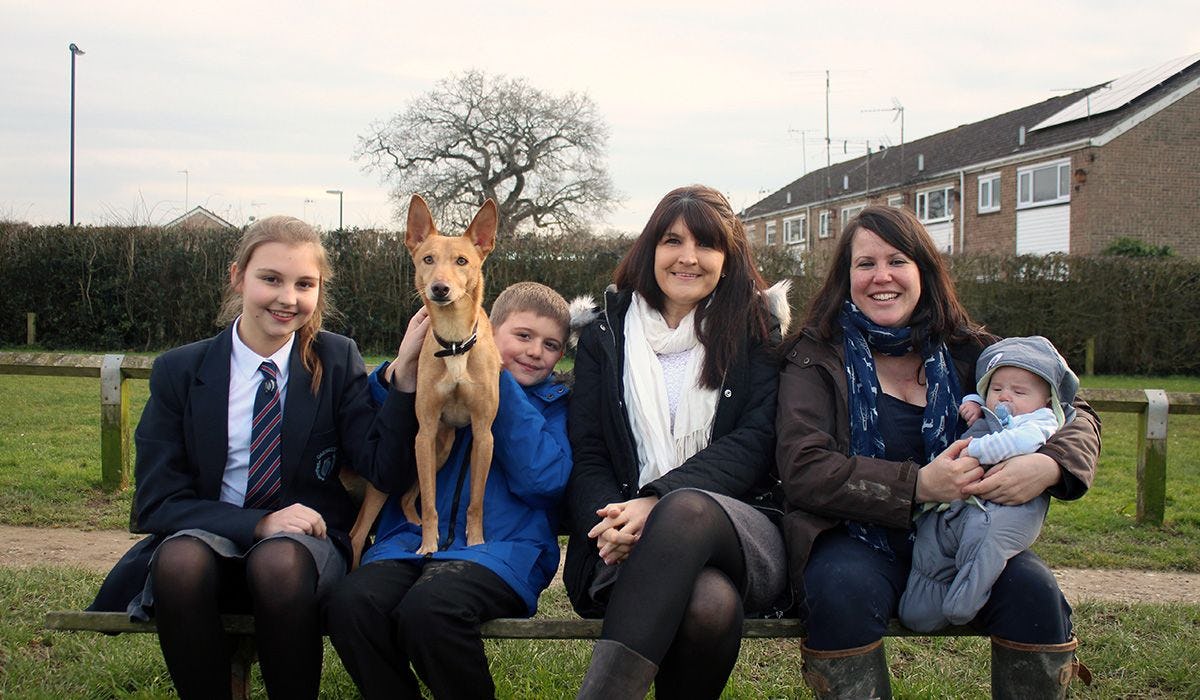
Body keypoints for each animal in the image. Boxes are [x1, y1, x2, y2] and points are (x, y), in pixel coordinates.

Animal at [348, 193, 501, 564]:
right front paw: (429, 546)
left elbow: (475, 502)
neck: (456, 344)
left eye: (462, 261)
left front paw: (475, 541)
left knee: (406, 499)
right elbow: (431, 502)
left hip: (441, 449)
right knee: (359, 533)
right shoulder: (426, 431)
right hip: (410, 459)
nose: (439, 288)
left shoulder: (483, 434)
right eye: (427, 259)